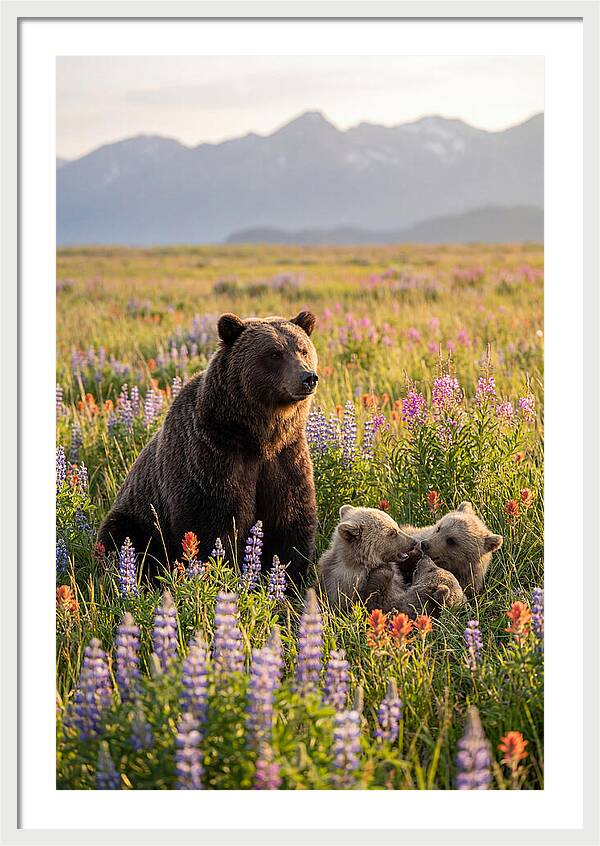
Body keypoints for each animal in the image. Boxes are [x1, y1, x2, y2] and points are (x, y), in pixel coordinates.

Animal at [98, 311, 319, 585]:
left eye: (303, 350)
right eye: (274, 353)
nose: (307, 377)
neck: (257, 436)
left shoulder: (286, 456)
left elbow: (291, 519)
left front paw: (290, 580)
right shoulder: (212, 455)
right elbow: (212, 524)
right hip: (137, 516)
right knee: (121, 538)